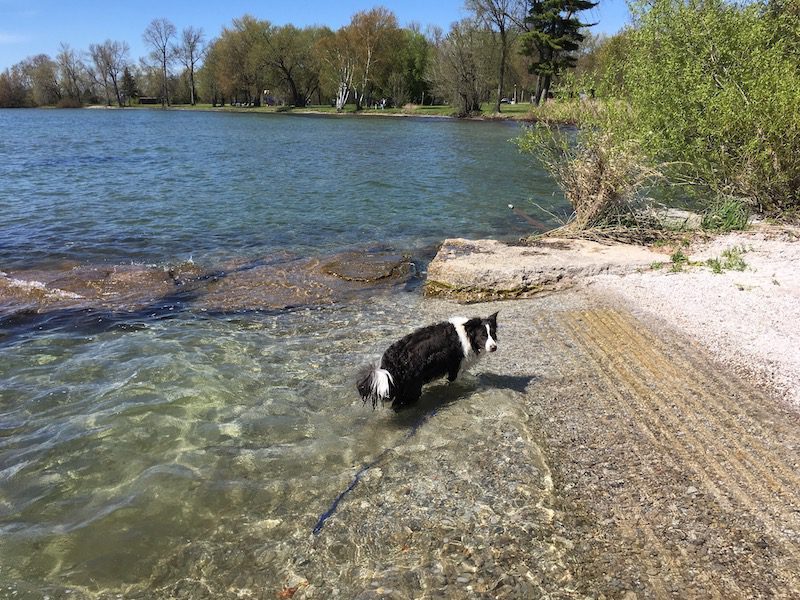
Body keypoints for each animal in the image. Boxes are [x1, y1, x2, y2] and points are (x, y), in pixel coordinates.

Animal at [358, 312, 496, 410]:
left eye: (493, 334)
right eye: (483, 335)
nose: (494, 347)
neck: (467, 334)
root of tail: (391, 360)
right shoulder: (455, 367)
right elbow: (456, 380)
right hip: (412, 388)